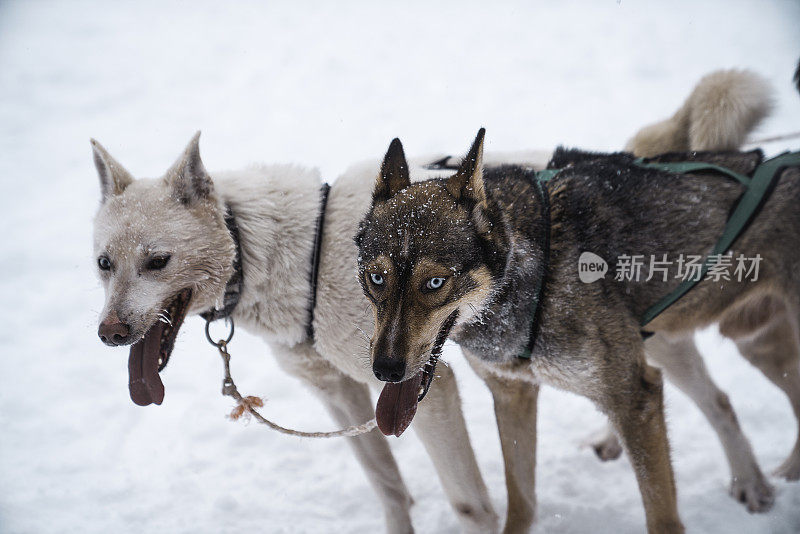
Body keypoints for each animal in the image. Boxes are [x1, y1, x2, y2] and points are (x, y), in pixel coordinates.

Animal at [360, 91, 796, 532]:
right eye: (376, 278)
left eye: (435, 283)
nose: (386, 370)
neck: (532, 274)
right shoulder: (513, 395)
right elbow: (521, 501)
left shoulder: (634, 398)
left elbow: (661, 515)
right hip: (714, 344)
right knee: (724, 400)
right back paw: (753, 483)